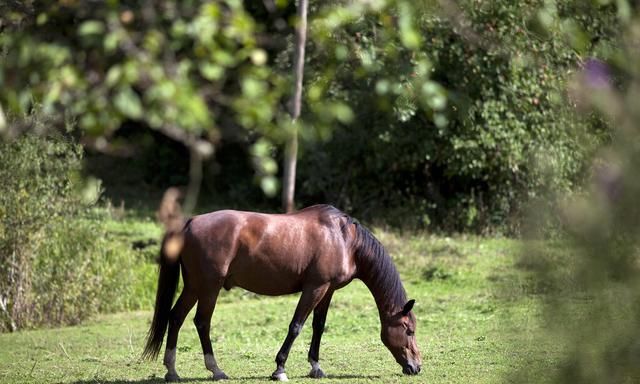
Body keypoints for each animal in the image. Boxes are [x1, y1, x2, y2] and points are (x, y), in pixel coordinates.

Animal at [142, 206, 420, 380]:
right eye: (409, 330)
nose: (416, 367)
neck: (344, 239)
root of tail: (189, 224)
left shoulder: (327, 290)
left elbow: (318, 326)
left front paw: (316, 367)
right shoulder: (314, 287)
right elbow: (296, 326)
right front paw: (280, 369)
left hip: (193, 286)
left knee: (176, 317)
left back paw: (172, 371)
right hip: (209, 287)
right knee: (201, 322)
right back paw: (216, 370)